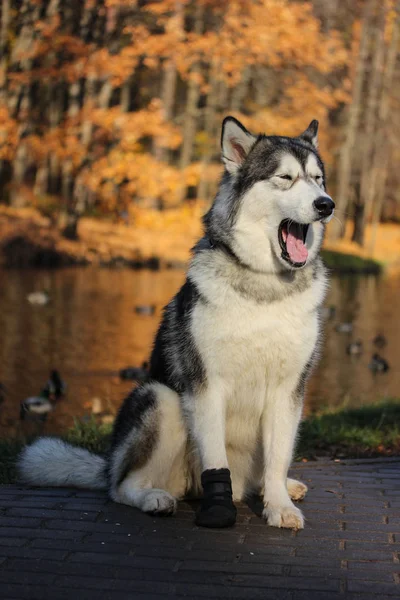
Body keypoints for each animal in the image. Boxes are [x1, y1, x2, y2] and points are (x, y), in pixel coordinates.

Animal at [18, 117, 334, 528]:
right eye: (285, 177)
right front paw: (219, 508)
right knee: (121, 485)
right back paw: (152, 497)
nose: (326, 205)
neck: (263, 286)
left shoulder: (289, 389)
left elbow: (278, 457)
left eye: (318, 179)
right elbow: (215, 458)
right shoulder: (207, 384)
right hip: (161, 399)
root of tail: (107, 465)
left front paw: (279, 505)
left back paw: (274, 488)